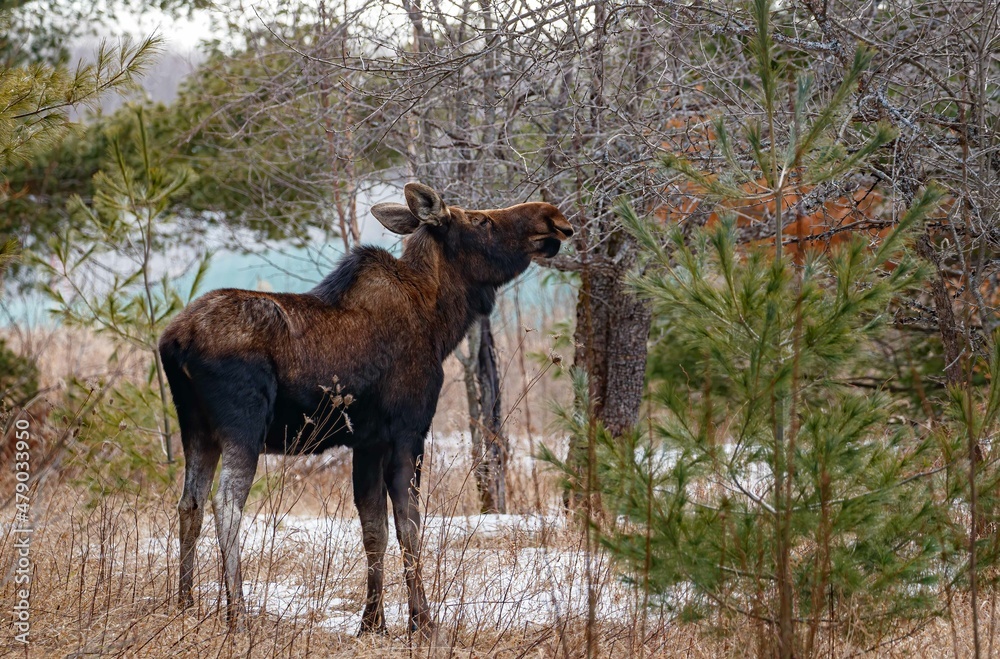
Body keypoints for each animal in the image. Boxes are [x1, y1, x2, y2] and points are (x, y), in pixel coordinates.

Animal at [158, 182, 572, 635]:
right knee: (226, 505)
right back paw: (237, 615)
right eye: (481, 221)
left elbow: (374, 530)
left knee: (189, 503)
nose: (554, 219)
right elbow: (408, 527)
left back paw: (184, 604)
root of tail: (174, 341)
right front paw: (421, 622)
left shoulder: (367, 442)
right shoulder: (408, 431)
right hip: (242, 427)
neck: (441, 321)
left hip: (196, 427)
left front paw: (372, 623)